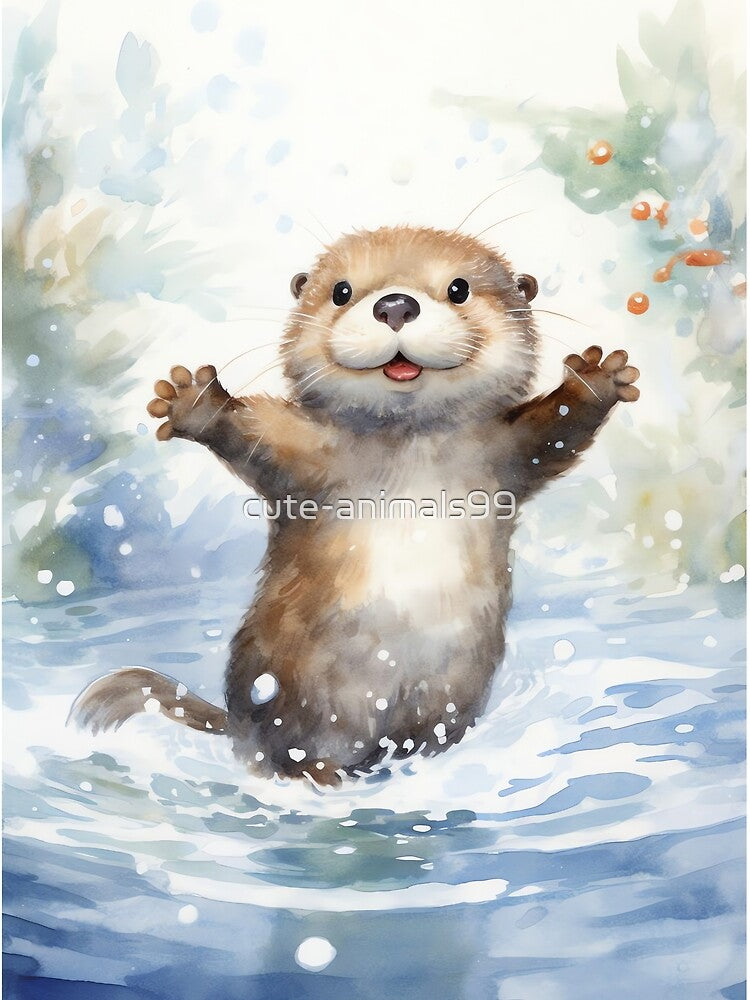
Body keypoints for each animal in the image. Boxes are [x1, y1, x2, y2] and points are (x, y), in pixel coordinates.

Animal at [70, 225, 640, 785]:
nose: (395, 305)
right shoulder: (302, 449)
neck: (408, 448)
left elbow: (553, 433)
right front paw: (195, 402)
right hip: (294, 688)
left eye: (459, 288)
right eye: (342, 291)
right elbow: (253, 436)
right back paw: (320, 774)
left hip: (452, 692)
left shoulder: (503, 452)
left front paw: (596, 379)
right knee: (293, 748)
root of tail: (234, 720)